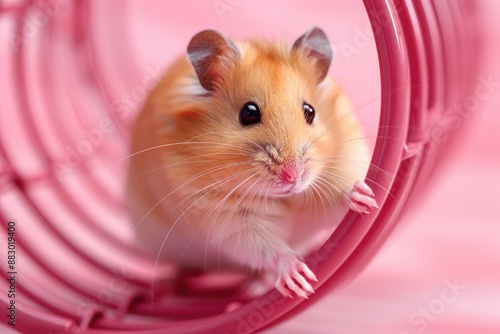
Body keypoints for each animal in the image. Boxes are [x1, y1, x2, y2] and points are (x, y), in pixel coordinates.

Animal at [127, 26, 376, 298]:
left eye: (309, 111)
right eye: (249, 113)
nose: (293, 177)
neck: (285, 198)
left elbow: (334, 200)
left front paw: (367, 197)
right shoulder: (231, 219)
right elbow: (264, 246)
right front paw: (299, 279)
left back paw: (255, 288)